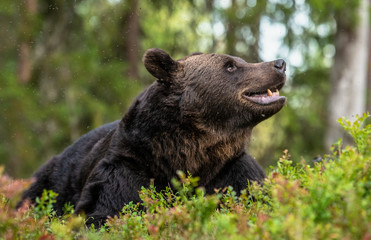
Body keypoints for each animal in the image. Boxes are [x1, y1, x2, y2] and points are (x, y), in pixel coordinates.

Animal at [18, 48, 288, 227]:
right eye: (230, 66)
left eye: (242, 60)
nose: (280, 63)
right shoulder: (129, 164)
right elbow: (109, 209)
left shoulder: (230, 169)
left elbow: (254, 195)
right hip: (51, 182)